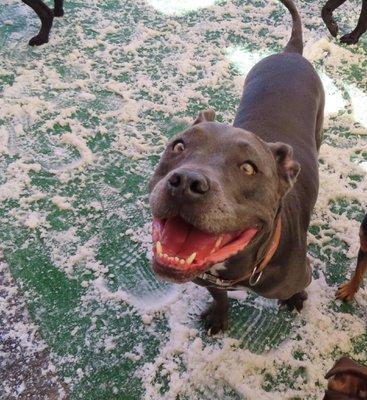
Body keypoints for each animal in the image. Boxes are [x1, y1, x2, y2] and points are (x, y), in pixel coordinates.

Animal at [149, 0, 324, 332]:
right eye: (179, 146)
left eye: (248, 168)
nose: (186, 183)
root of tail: (290, 53)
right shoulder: (208, 281)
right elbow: (219, 296)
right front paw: (218, 315)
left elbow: (296, 289)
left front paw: (295, 299)